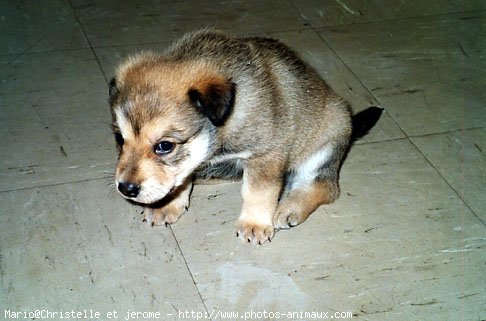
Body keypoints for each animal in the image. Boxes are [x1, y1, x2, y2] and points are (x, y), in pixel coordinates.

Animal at [110, 30, 384, 245]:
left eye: (164, 146)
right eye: (120, 139)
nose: (126, 188)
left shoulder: (266, 155)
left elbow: (257, 192)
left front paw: (255, 224)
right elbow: (180, 180)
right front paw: (167, 205)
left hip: (322, 148)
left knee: (325, 187)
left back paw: (289, 207)